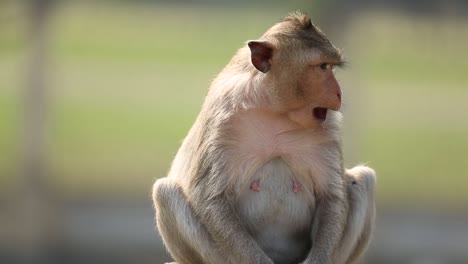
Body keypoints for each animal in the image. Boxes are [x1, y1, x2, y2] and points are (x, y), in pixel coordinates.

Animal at [153, 11, 376, 264]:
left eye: (330, 66)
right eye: (322, 67)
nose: (339, 93)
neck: (275, 109)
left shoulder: (328, 128)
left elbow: (331, 196)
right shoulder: (222, 121)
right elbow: (211, 198)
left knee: (363, 179)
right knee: (165, 191)